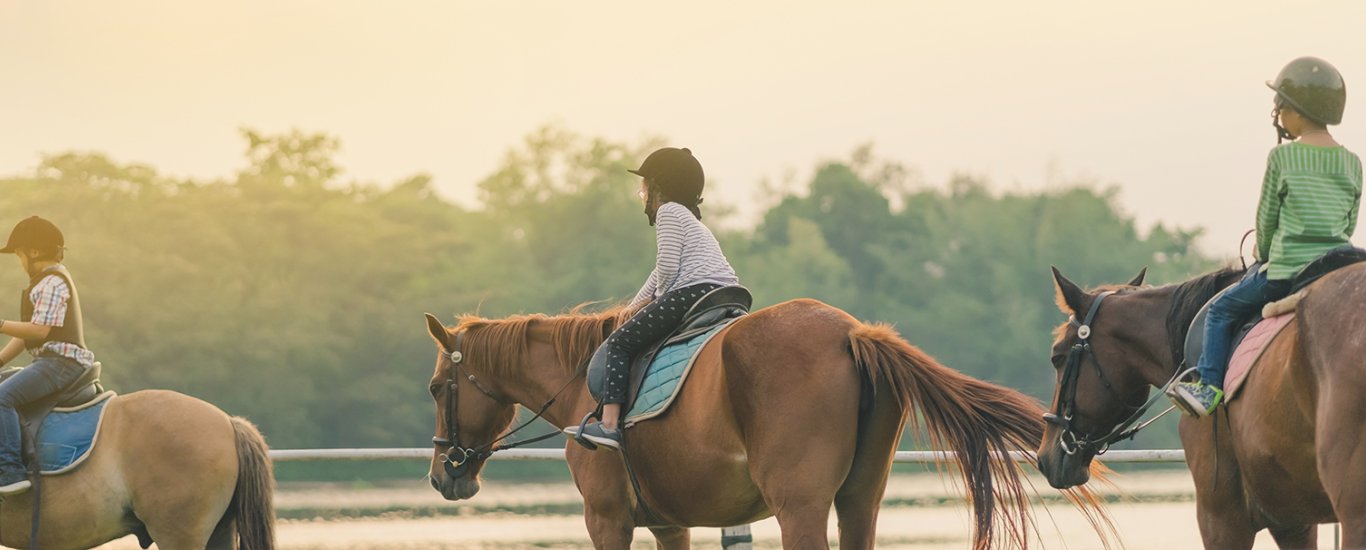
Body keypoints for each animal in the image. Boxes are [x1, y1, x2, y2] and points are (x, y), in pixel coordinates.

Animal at [423, 301, 1109, 550]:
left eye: (434, 388)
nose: (442, 476)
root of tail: (851, 332)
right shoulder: (670, 524)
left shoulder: (608, 521)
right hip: (858, 502)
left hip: (799, 507)